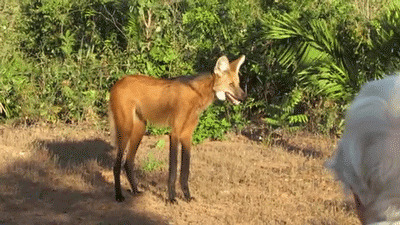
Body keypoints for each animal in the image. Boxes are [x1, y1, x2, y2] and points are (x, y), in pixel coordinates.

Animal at [109, 55, 247, 203]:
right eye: (231, 84)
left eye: (238, 83)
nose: (244, 97)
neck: (197, 95)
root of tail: (118, 82)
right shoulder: (175, 133)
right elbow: (174, 169)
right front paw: (171, 198)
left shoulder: (187, 135)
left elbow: (185, 170)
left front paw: (187, 196)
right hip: (126, 129)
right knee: (117, 165)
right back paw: (119, 195)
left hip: (140, 129)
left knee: (128, 162)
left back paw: (136, 191)